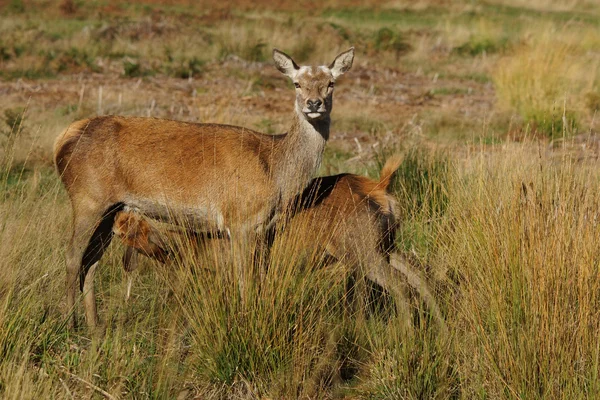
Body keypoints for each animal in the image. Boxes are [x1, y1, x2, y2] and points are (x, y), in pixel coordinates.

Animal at [54, 47, 354, 328]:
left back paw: (94, 325)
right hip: (86, 198)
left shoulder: (267, 230)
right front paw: (244, 320)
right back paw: (69, 322)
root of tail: (63, 140)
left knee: (91, 260)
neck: (276, 172)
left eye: (330, 83)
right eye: (296, 84)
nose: (313, 103)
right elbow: (244, 280)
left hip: (112, 208)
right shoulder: (239, 220)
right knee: (72, 255)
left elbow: (261, 278)